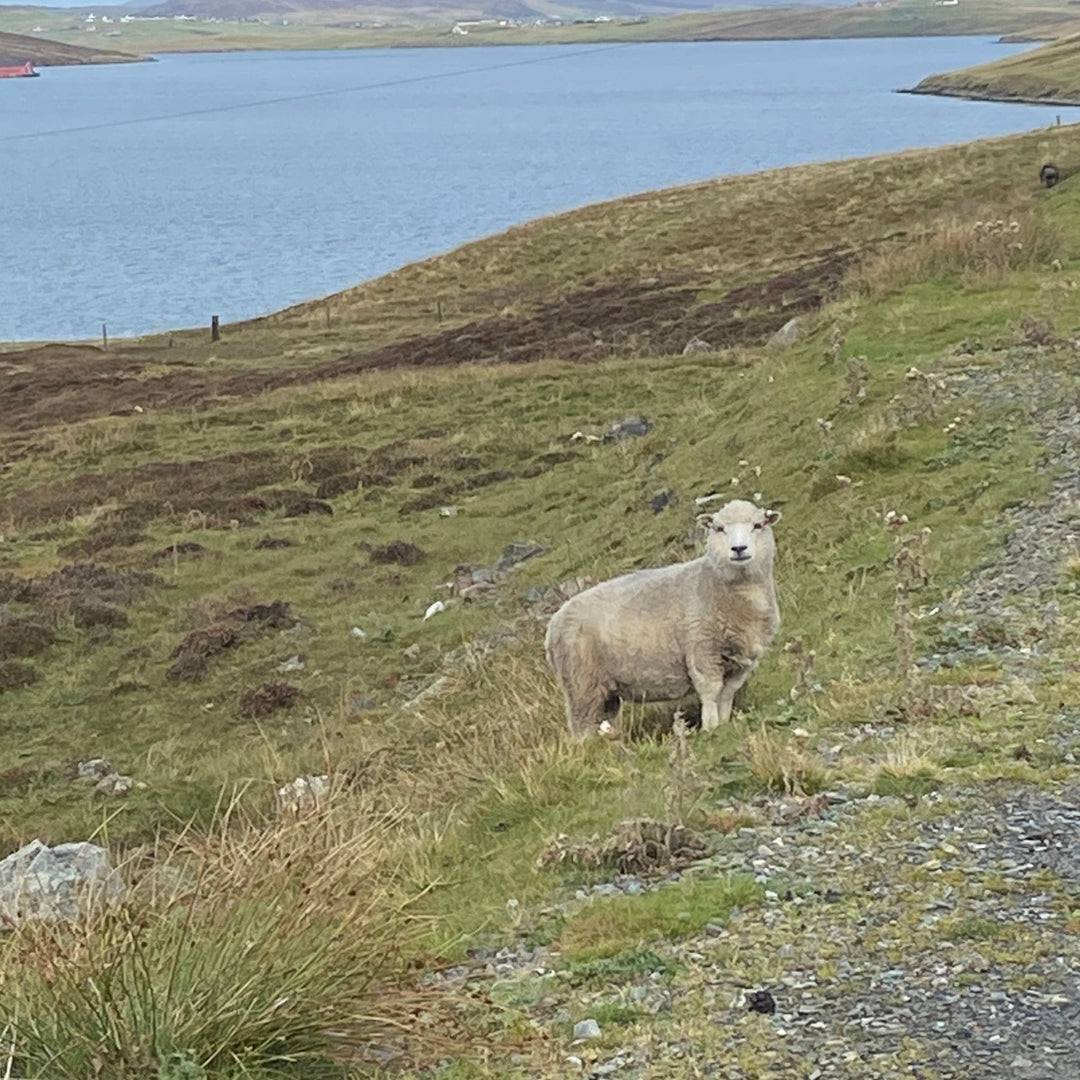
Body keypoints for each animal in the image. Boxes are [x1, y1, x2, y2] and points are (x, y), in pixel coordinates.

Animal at [545, 499, 781, 736]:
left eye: (758, 525)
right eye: (719, 528)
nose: (738, 549)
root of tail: (553, 624)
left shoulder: (740, 663)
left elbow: (727, 695)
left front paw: (724, 724)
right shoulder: (702, 651)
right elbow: (710, 693)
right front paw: (710, 727)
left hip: (604, 689)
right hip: (581, 682)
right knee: (582, 726)